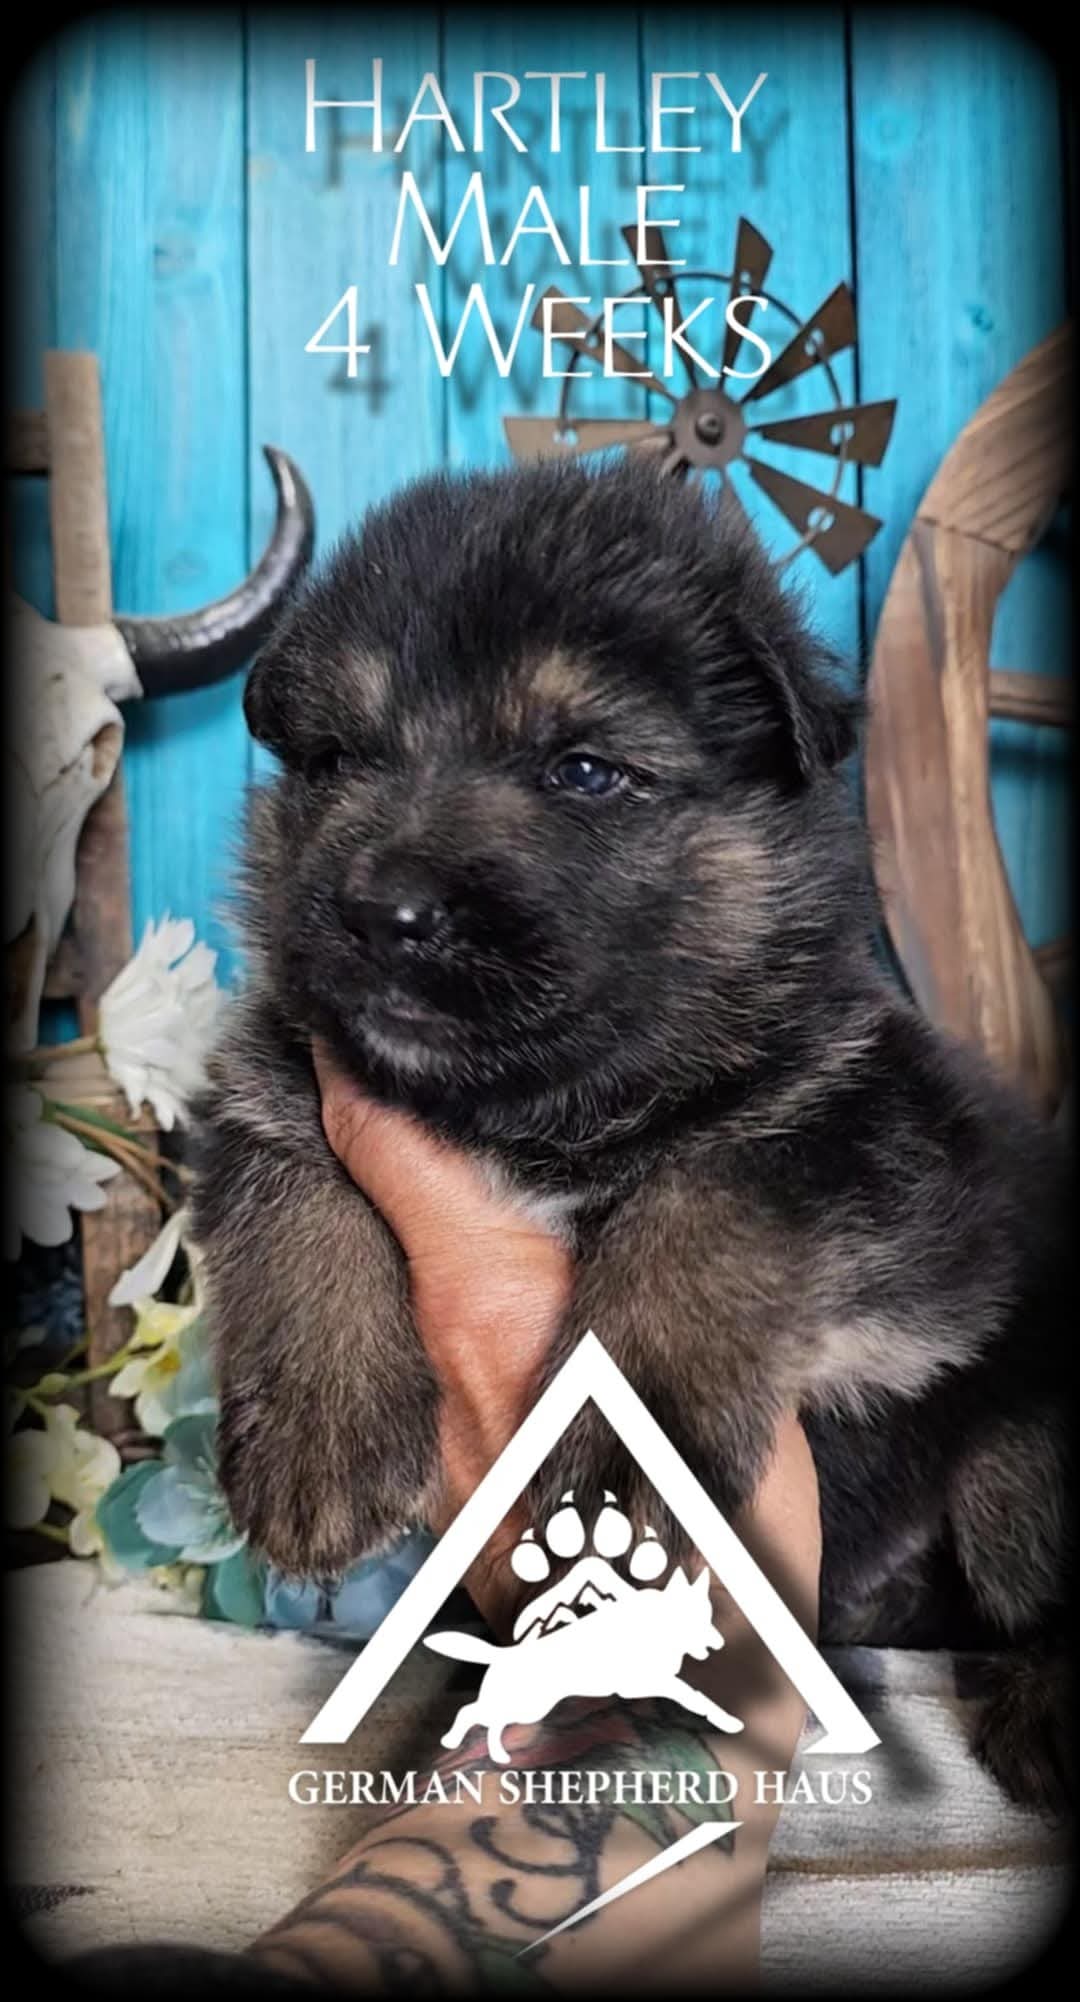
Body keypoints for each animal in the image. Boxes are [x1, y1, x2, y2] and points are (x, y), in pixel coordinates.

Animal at [191, 458, 1069, 1812]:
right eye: (337, 757)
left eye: (586, 771)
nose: (383, 912)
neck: (540, 1109)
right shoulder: (280, 1067)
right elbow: (293, 1182)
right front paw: (317, 1432)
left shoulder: (880, 1143)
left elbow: (710, 1201)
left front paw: (619, 1474)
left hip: (1023, 1431)